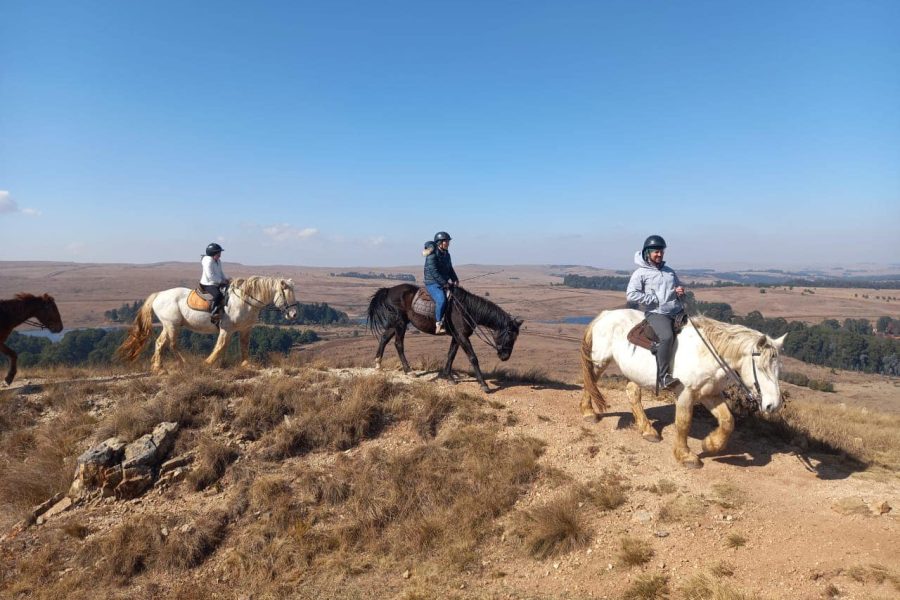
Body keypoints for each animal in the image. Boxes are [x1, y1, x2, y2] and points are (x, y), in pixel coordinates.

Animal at [117, 276, 299, 371]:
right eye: (286, 294)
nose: (293, 314)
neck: (245, 301)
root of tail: (159, 295)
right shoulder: (226, 329)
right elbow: (220, 346)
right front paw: (208, 362)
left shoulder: (245, 329)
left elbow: (244, 346)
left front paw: (246, 364)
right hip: (172, 325)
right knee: (172, 344)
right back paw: (185, 363)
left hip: (169, 325)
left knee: (160, 342)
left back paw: (158, 367)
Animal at [366, 284, 523, 392]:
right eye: (510, 334)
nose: (505, 356)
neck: (466, 309)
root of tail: (388, 290)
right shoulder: (462, 336)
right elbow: (473, 357)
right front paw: (484, 385)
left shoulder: (457, 336)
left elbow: (451, 354)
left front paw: (448, 376)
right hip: (400, 323)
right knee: (398, 344)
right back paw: (409, 371)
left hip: (396, 323)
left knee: (384, 338)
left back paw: (378, 364)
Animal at [580, 309, 786, 468]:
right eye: (761, 367)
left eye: (778, 368)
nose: (773, 405)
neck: (708, 353)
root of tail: (606, 314)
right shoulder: (686, 393)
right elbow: (684, 422)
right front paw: (686, 456)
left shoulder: (710, 394)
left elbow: (728, 421)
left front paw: (710, 445)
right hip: (600, 361)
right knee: (590, 382)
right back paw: (588, 413)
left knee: (632, 392)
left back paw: (648, 431)